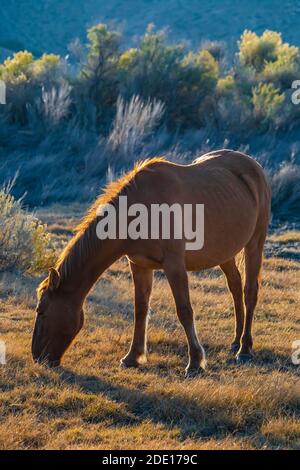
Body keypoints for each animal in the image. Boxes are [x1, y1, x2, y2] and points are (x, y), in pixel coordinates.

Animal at [32, 149, 272, 376]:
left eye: (42, 311)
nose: (37, 357)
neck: (140, 211)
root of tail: (253, 165)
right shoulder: (140, 265)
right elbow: (141, 309)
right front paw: (133, 357)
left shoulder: (174, 265)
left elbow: (184, 310)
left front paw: (195, 362)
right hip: (224, 253)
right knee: (235, 287)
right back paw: (235, 342)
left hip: (255, 243)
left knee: (250, 292)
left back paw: (245, 349)